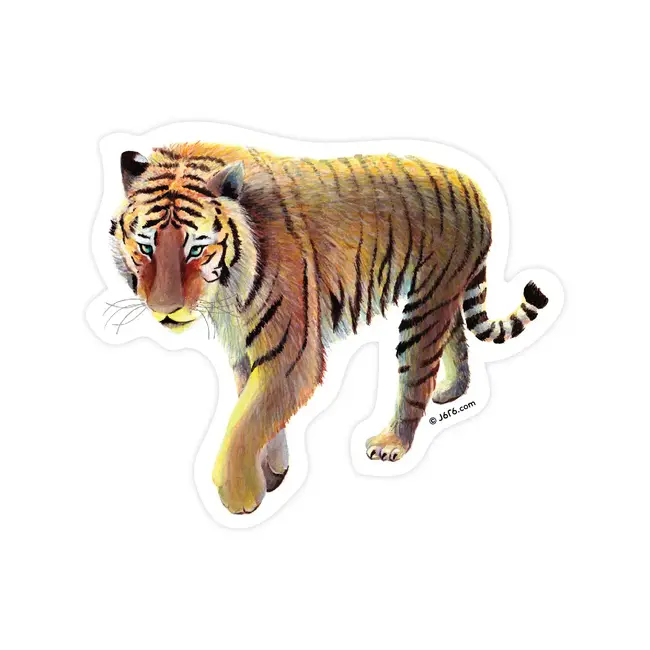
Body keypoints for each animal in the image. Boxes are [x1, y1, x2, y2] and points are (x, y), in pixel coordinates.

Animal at [110, 143, 549, 514]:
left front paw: (241, 496)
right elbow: (257, 412)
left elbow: (245, 422)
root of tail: (473, 186)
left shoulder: (292, 353)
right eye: (146, 247)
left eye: (196, 249)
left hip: (424, 308)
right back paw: (451, 392)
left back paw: (393, 443)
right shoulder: (246, 351)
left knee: (418, 375)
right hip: (443, 295)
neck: (226, 289)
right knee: (456, 338)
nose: (166, 309)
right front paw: (274, 472)